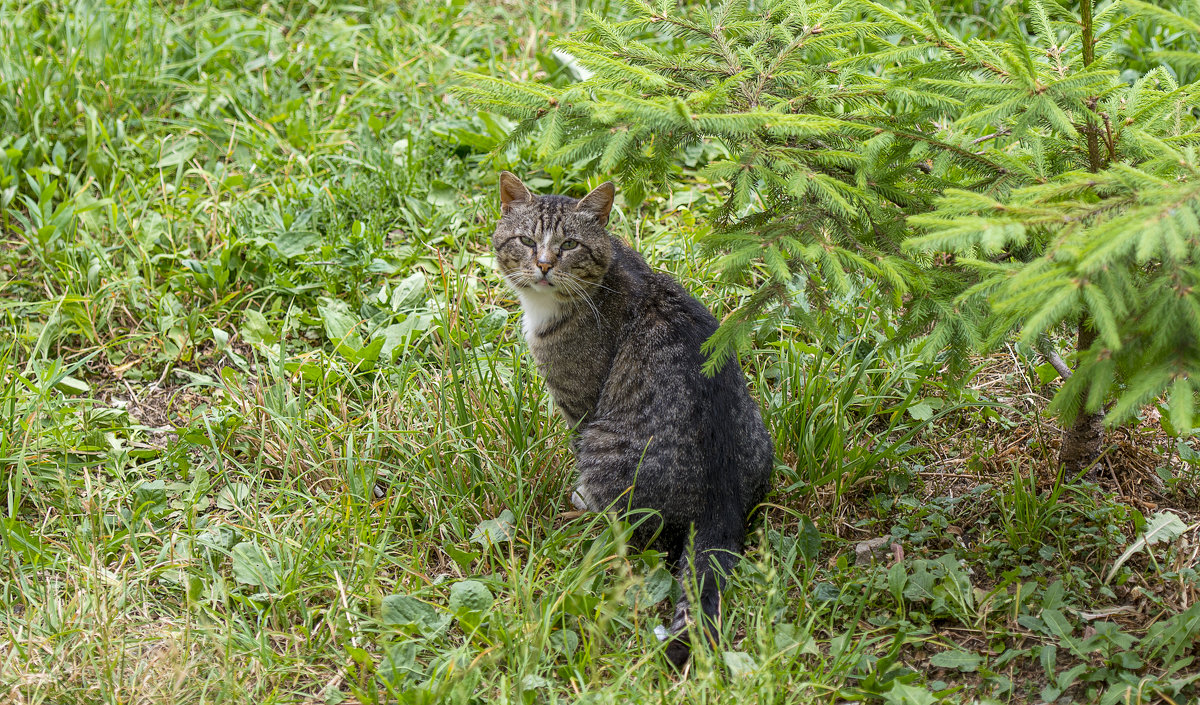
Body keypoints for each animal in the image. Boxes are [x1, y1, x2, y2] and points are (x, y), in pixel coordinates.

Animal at [492, 170, 772, 666]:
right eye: (526, 240)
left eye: (568, 245)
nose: (543, 265)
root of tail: (722, 505)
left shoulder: (580, 405)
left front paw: (579, 495)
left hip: (604, 445)